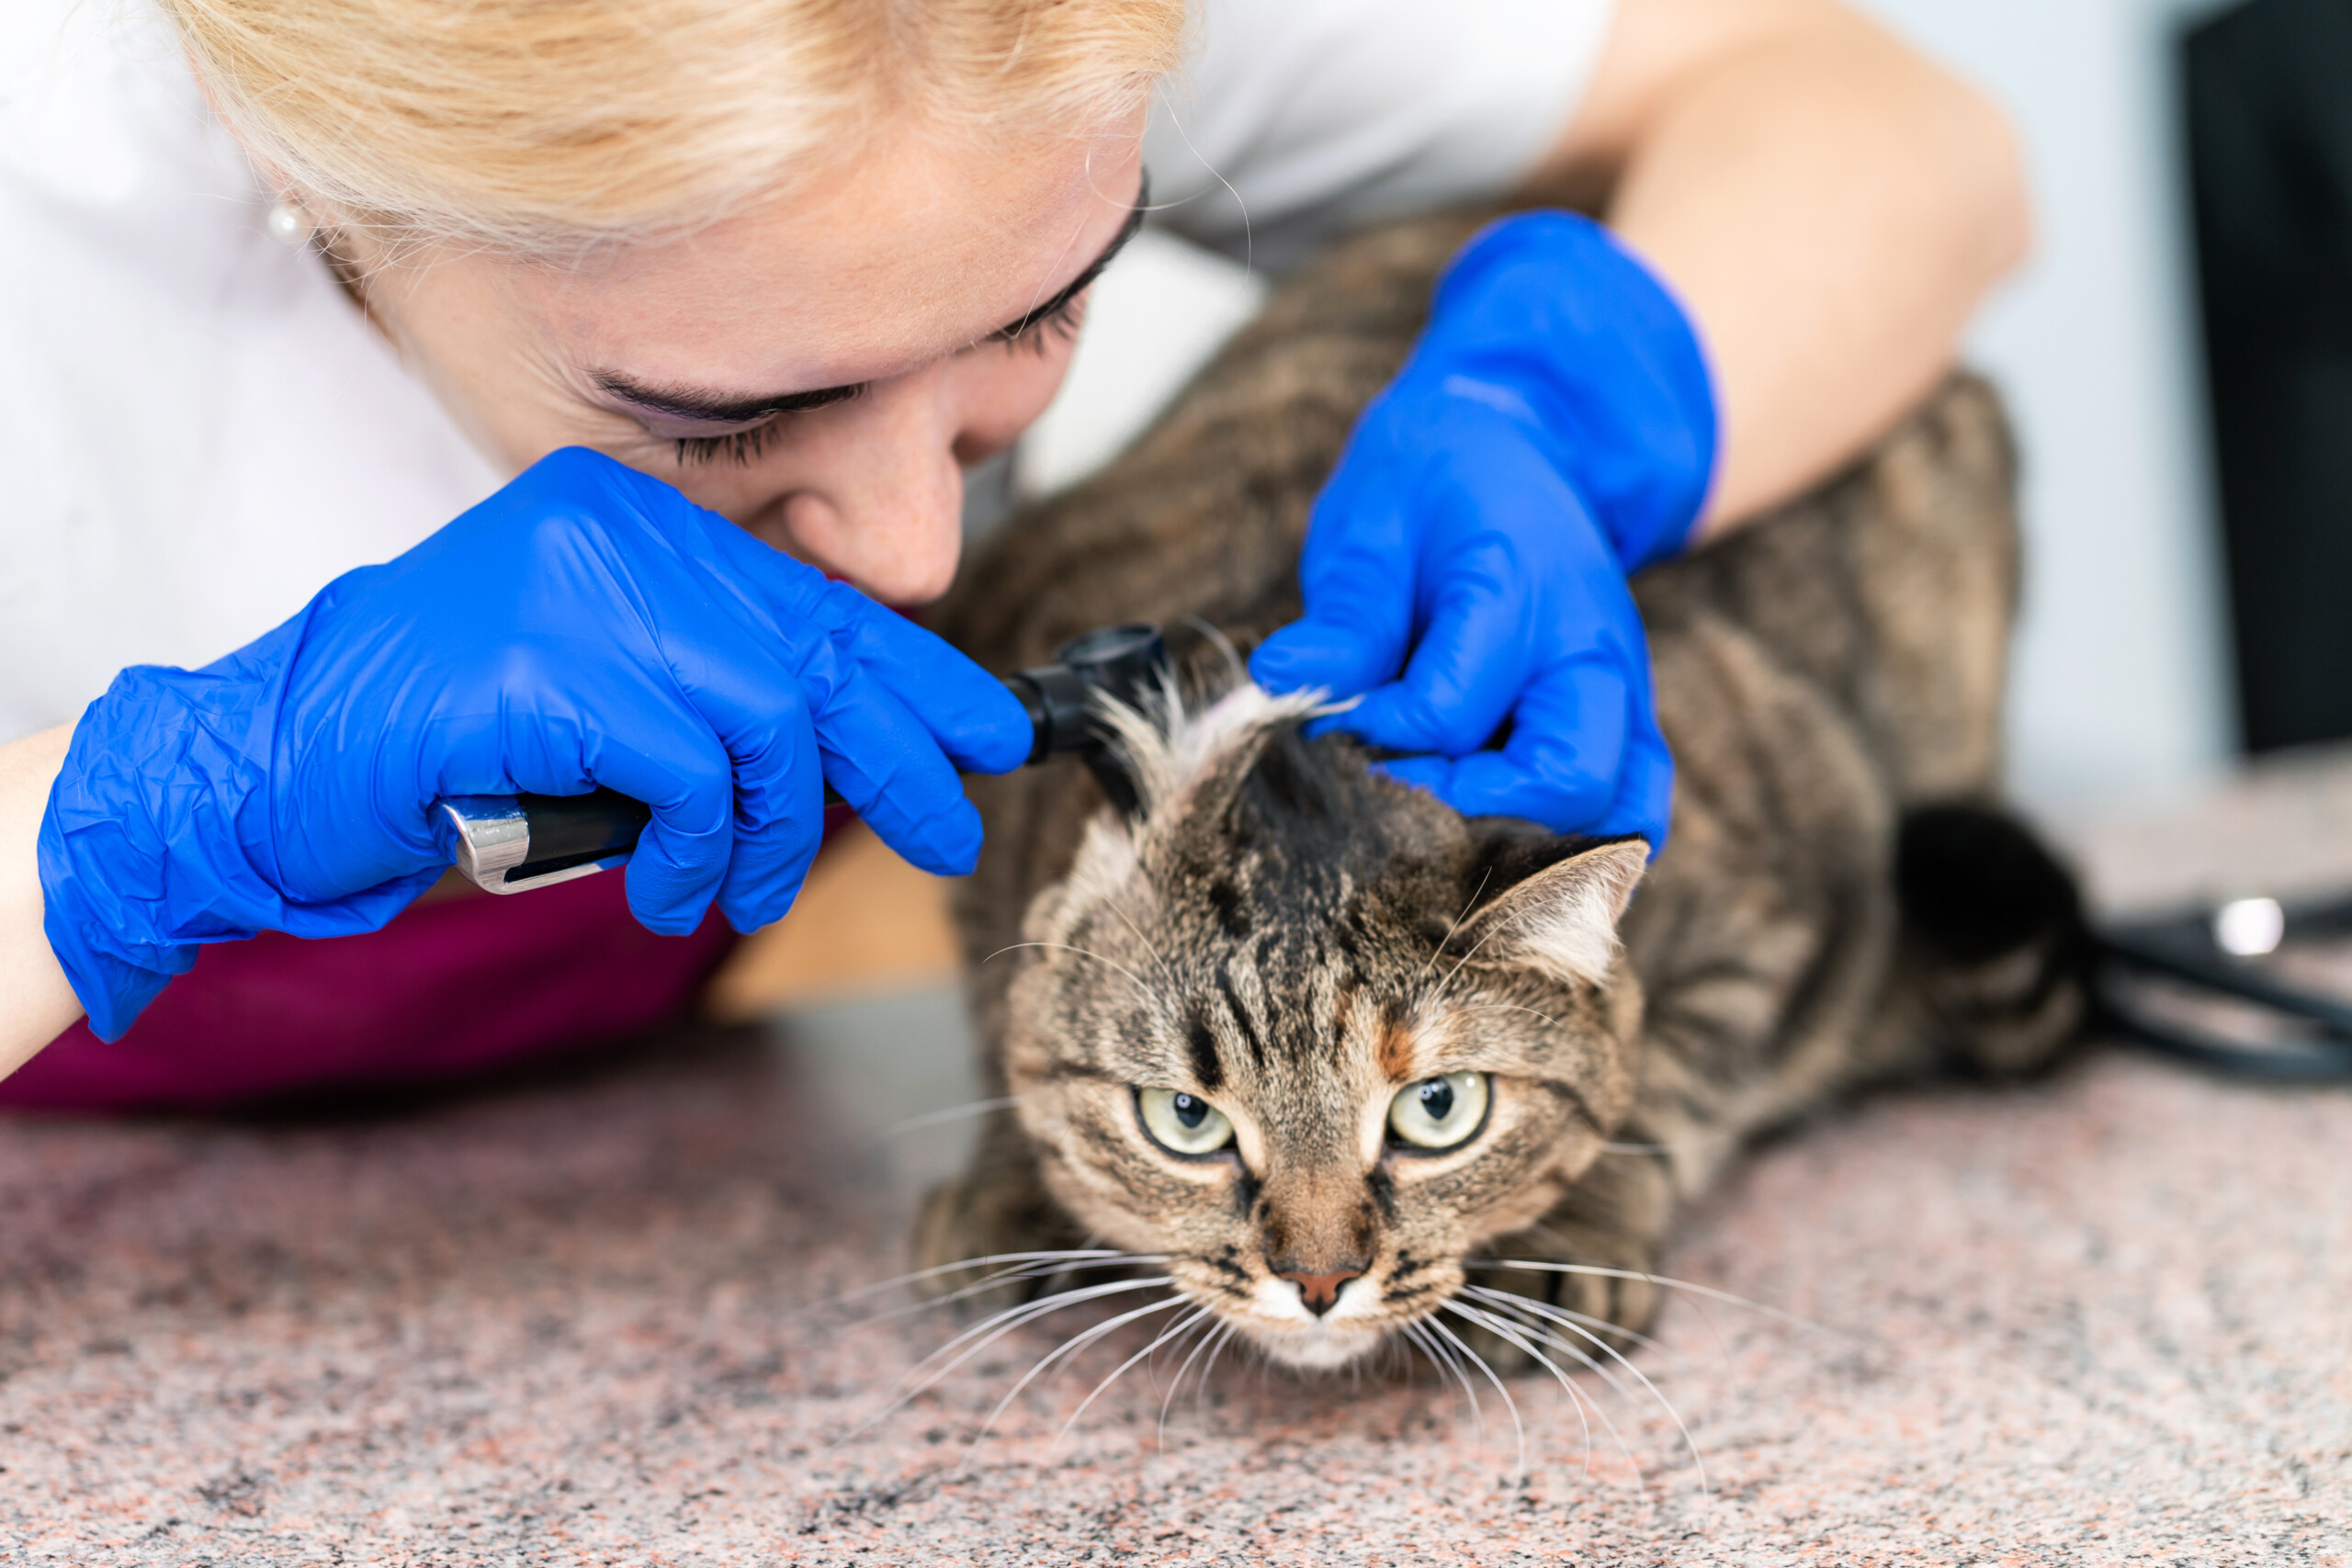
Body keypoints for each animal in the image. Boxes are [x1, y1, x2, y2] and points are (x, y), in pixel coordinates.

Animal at [912, 211, 2079, 1372]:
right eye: (1184, 1120)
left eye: (1438, 1110)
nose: (1317, 1282)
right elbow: (1009, 1009)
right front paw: (1014, 1184)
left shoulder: (1796, 873)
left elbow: (1665, 1076)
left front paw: (1575, 1232)